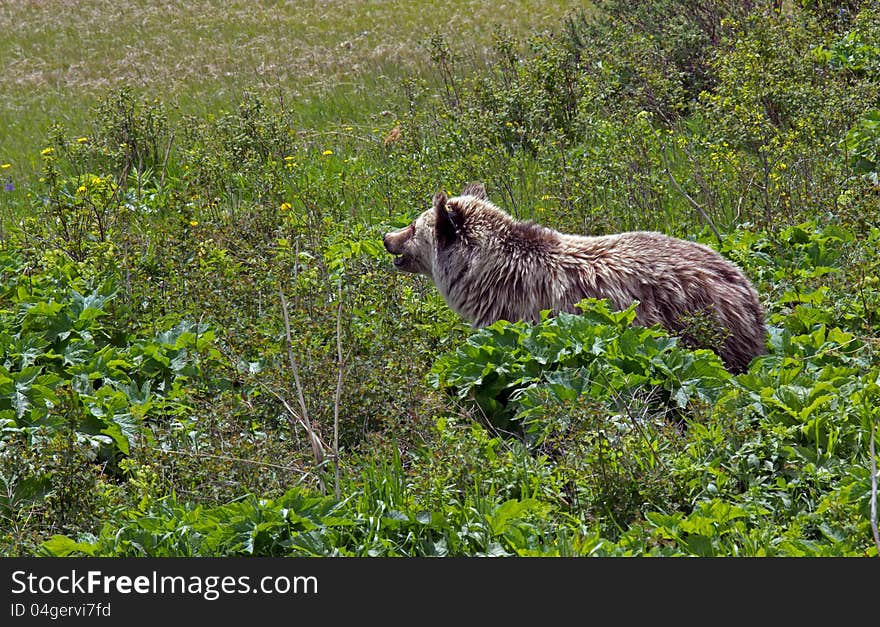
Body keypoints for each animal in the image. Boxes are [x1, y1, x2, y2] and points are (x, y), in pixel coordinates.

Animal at [384, 183, 764, 372]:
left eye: (413, 225)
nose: (387, 237)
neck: (484, 275)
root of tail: (744, 285)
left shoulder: (519, 312)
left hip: (701, 325)